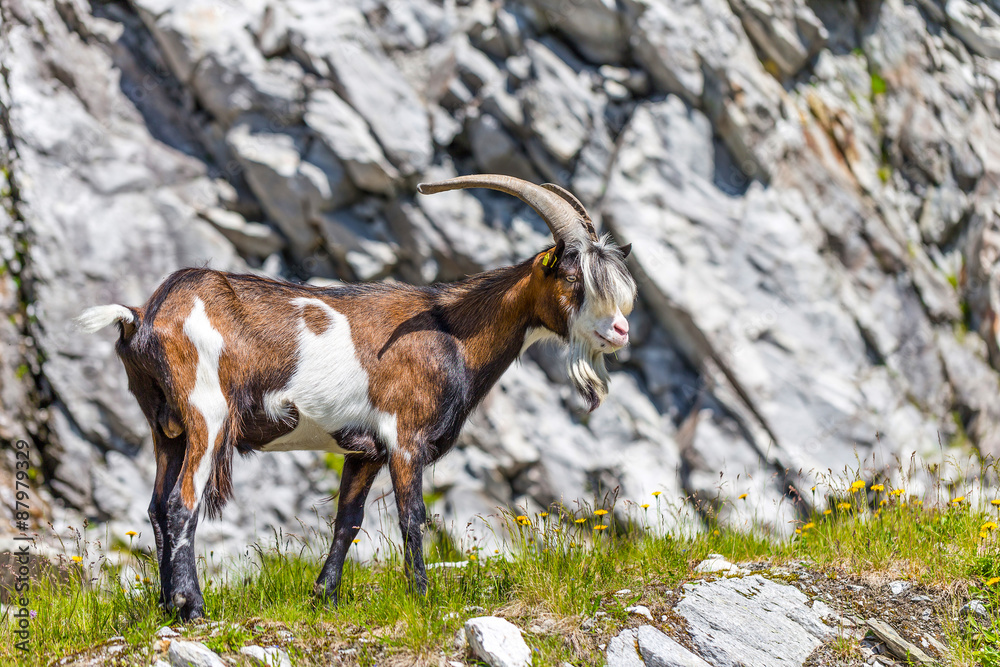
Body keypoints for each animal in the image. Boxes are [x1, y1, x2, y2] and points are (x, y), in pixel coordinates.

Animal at [80, 174, 640, 620]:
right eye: (573, 275)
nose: (621, 330)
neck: (451, 331)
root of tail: (142, 317)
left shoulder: (363, 450)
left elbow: (346, 523)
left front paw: (323, 597)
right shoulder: (405, 439)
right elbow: (413, 519)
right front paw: (423, 598)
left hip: (166, 428)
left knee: (157, 507)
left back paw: (164, 606)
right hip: (207, 415)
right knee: (181, 505)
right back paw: (192, 608)